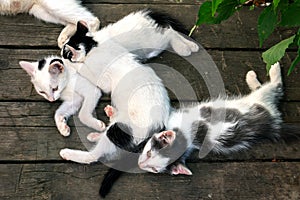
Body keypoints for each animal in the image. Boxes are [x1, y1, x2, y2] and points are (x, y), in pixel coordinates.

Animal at [138, 62, 288, 175]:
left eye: (149, 155)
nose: (140, 165)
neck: (186, 137)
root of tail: (272, 121)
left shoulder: (174, 116)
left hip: (261, 98)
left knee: (275, 87)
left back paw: (271, 70)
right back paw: (253, 78)